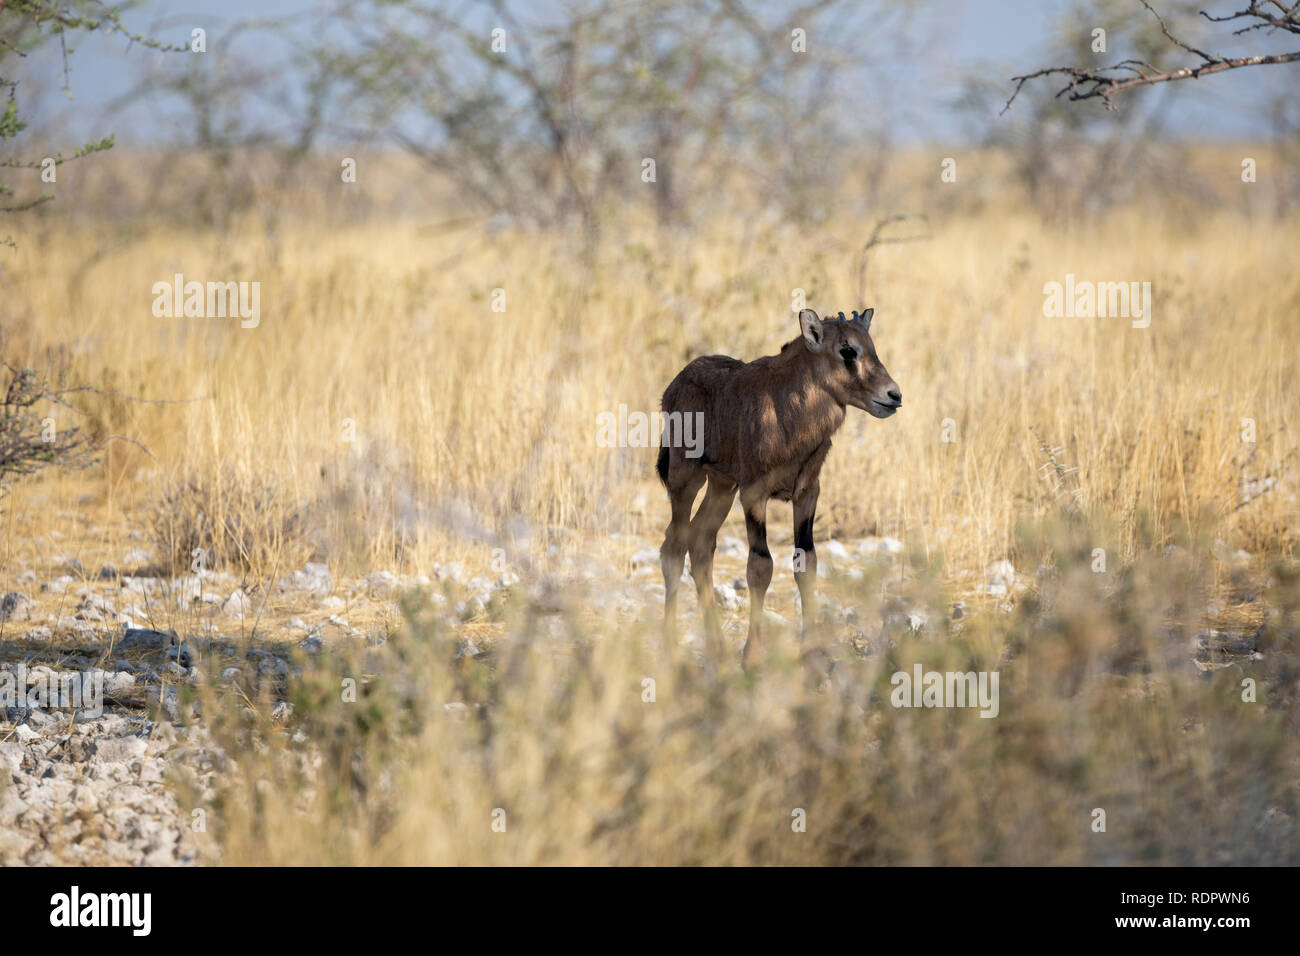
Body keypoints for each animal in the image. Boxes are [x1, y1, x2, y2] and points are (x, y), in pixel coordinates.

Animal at [655, 310, 899, 671]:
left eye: (870, 345)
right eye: (847, 350)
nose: (893, 395)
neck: (791, 413)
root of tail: (674, 386)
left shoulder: (807, 493)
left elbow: (807, 562)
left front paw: (814, 655)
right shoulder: (754, 494)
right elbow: (760, 566)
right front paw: (753, 656)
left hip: (722, 486)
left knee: (701, 542)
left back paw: (717, 648)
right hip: (687, 478)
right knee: (674, 545)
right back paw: (671, 646)